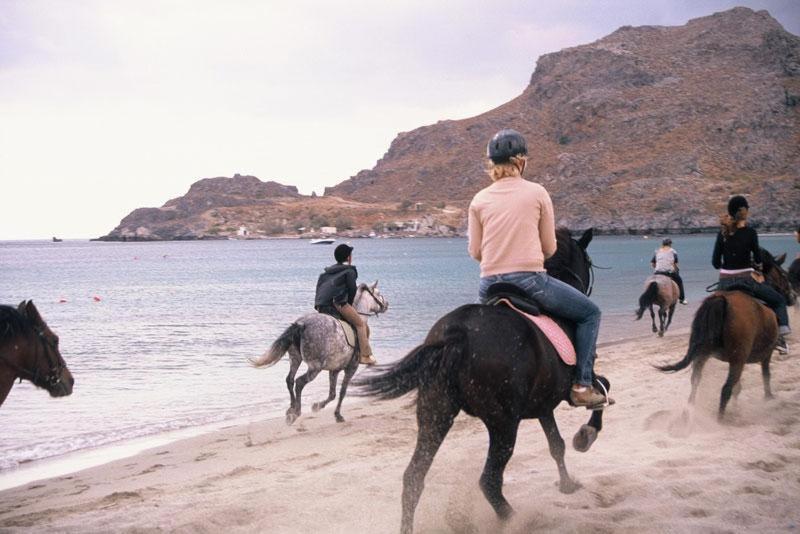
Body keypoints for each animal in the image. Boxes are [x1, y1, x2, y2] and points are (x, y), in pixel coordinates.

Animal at [250, 280, 388, 428]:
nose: (386, 304)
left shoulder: (334, 370)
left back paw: (291, 410)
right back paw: (296, 412)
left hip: (295, 358)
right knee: (299, 382)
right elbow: (342, 391)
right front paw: (337, 415)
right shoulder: (351, 368)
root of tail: (301, 324)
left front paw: (317, 406)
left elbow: (332, 393)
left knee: (290, 380)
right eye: (378, 293)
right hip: (315, 367)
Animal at [354, 230, 608, 534]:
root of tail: (457, 334)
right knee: (489, 481)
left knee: (414, 477)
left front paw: (567, 483)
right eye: (589, 261)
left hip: (435, 414)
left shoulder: (543, 405)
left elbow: (556, 444)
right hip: (503, 424)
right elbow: (602, 390)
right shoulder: (568, 389)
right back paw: (515, 520)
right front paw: (586, 436)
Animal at [656, 251, 792, 422]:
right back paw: (720, 420)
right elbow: (766, 375)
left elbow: (739, 387)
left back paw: (689, 413)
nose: (792, 297)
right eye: (784, 275)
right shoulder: (765, 354)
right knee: (725, 388)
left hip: (703, 355)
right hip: (737, 360)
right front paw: (769, 398)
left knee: (696, 382)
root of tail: (721, 300)